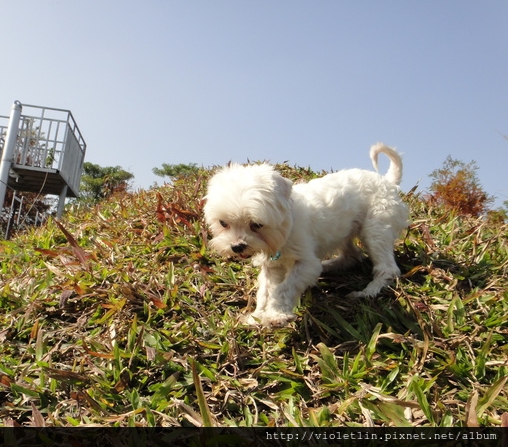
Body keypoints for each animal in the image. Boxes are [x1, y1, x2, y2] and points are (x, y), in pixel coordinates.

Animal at [202, 144, 408, 328]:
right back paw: (328, 268)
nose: (237, 246)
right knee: (351, 257)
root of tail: (388, 181)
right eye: (223, 223)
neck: (286, 225)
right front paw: (258, 316)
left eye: (257, 225)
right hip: (344, 231)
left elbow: (283, 288)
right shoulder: (272, 265)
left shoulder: (305, 263)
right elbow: (265, 292)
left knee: (388, 268)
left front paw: (276, 316)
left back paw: (367, 292)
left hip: (376, 229)